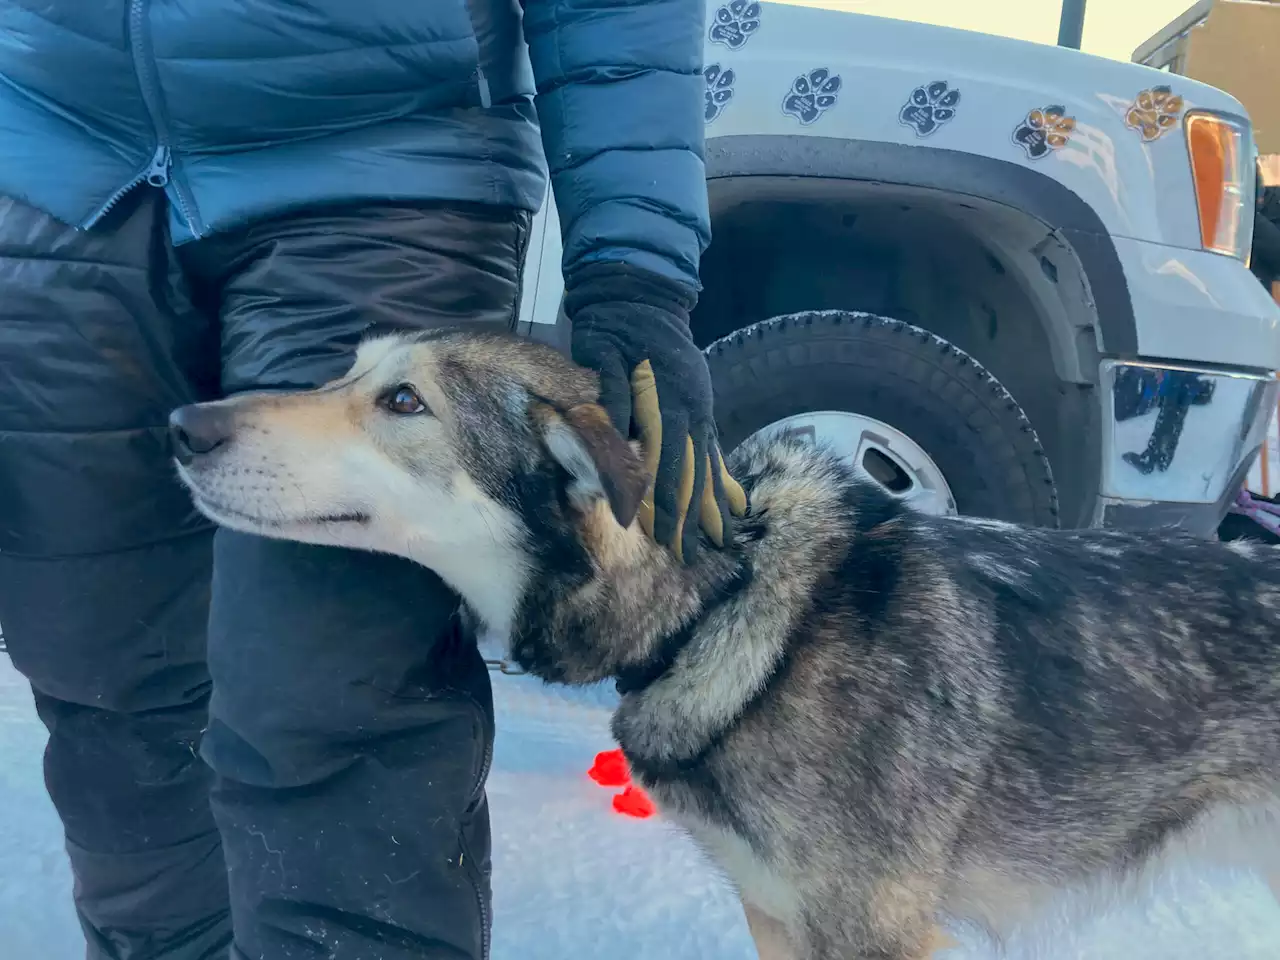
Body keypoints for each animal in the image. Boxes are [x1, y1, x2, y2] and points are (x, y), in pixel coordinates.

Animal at [172, 332, 1280, 960]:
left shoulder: (873, 935)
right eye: (351, 371)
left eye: (404, 403)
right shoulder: (778, 918)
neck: (720, 606)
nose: (183, 423)